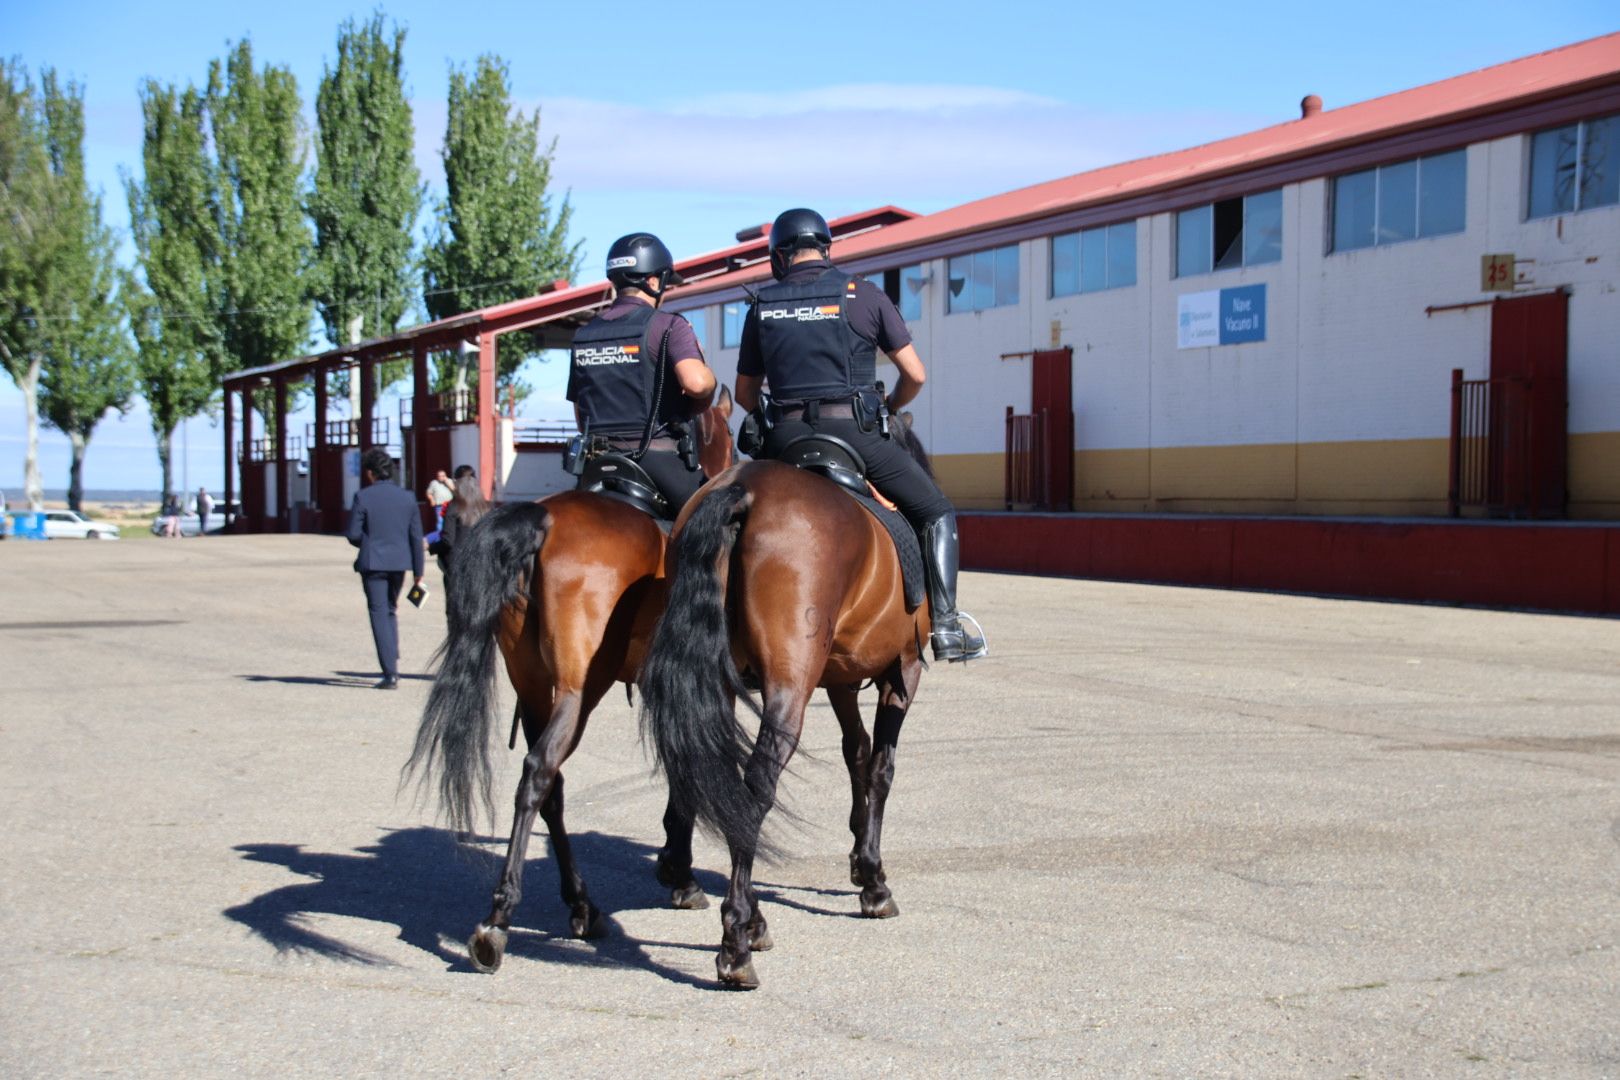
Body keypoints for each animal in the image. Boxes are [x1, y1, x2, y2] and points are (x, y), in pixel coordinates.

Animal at [405, 388, 735, 971]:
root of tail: (542, 521)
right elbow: (688, 768)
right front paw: (681, 874)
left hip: (537, 688)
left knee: (549, 786)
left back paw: (580, 905)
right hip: (580, 690)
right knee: (540, 771)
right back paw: (500, 917)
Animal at [635, 420, 939, 990]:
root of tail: (743, 489)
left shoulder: (839, 679)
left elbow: (857, 755)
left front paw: (859, 861)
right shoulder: (902, 670)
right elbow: (882, 766)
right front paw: (874, 881)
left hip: (721, 680)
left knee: (714, 775)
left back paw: (733, 909)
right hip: (788, 690)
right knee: (755, 788)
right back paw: (736, 941)